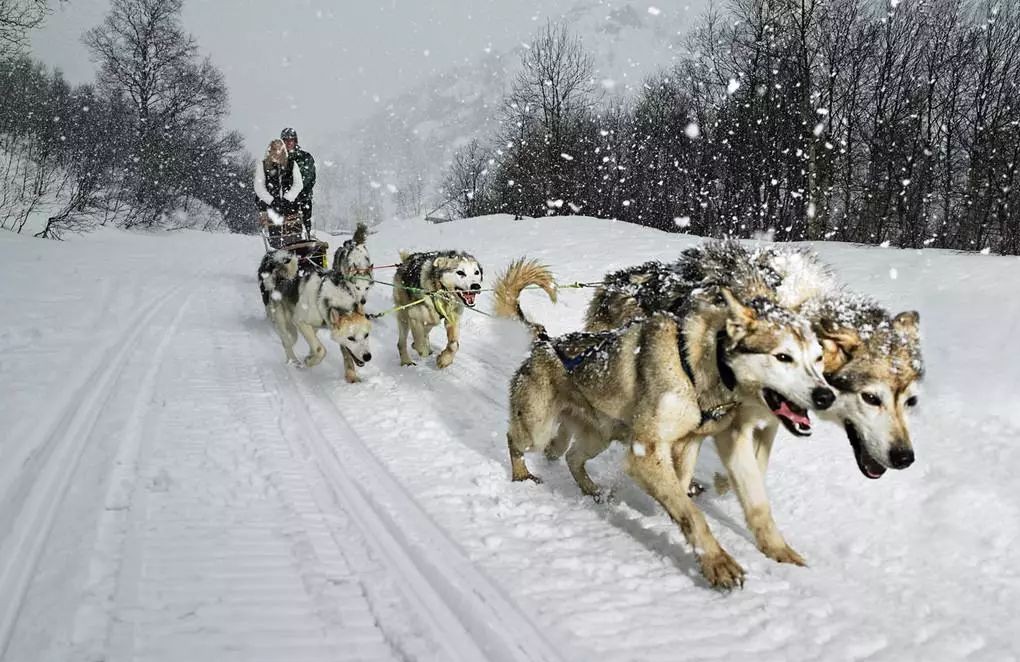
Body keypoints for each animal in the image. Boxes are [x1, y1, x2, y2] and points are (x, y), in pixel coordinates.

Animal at [259, 248, 375, 381]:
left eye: (366, 335)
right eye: (351, 338)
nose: (367, 356)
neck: (335, 297)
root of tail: (280, 276)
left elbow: (345, 356)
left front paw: (352, 377)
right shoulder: (300, 322)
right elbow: (320, 350)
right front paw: (309, 362)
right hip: (287, 325)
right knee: (288, 342)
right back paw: (293, 361)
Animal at [493, 256, 836, 587]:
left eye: (818, 358)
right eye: (783, 357)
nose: (826, 396)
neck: (700, 367)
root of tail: (544, 342)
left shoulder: (700, 442)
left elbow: (737, 499)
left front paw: (778, 550)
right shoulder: (644, 453)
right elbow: (692, 514)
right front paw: (718, 563)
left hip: (599, 436)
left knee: (572, 456)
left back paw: (592, 490)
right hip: (537, 427)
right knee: (516, 440)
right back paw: (522, 474)